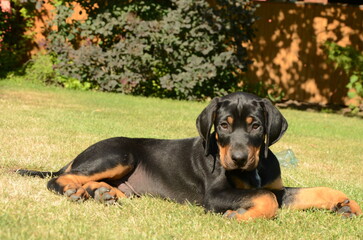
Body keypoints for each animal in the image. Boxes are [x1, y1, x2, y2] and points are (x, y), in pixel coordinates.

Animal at [18, 93, 362, 220]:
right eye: (223, 125)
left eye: (256, 126)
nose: (238, 158)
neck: (253, 171)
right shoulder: (215, 195)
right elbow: (265, 200)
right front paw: (240, 215)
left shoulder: (274, 186)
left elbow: (299, 192)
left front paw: (345, 203)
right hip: (120, 153)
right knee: (60, 178)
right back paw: (76, 191)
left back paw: (103, 193)